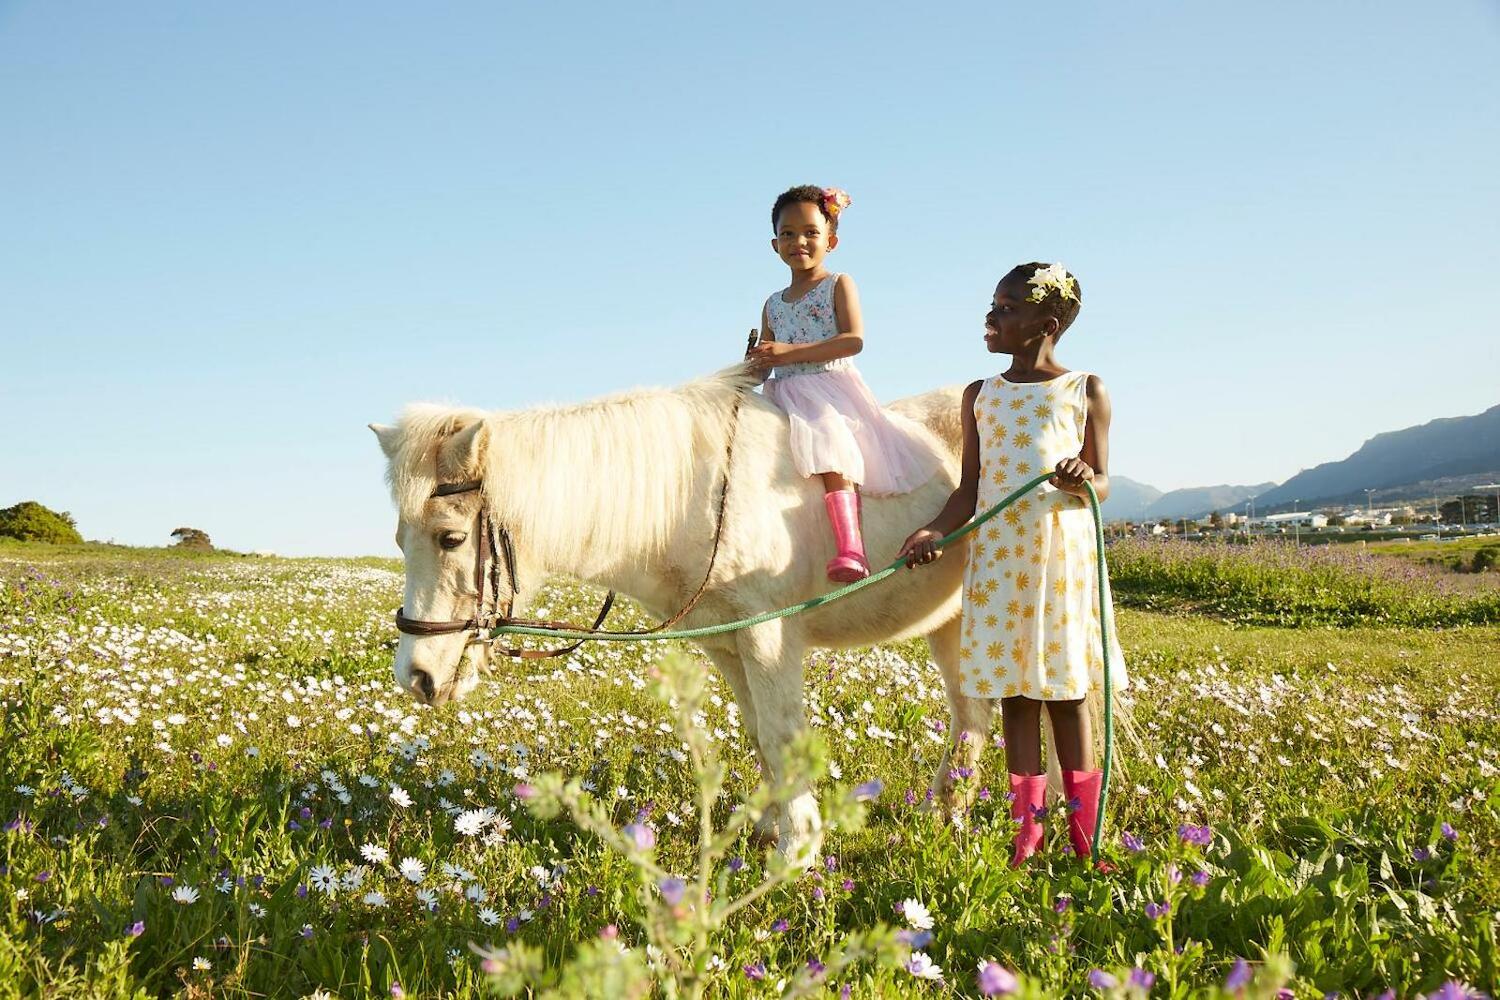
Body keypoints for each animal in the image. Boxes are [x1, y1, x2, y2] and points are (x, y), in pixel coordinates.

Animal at [373, 371, 1098, 857]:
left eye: (450, 538)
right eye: (399, 539)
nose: (416, 678)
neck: (689, 496)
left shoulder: (769, 635)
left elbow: (781, 735)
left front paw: (799, 850)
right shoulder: (726, 645)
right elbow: (756, 736)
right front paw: (773, 828)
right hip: (951, 623)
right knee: (971, 715)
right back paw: (947, 816)